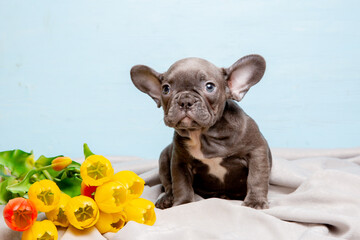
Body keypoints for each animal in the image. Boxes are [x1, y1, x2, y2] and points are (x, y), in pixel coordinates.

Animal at [131, 55, 272, 209]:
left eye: (209, 87)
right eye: (166, 89)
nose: (185, 100)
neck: (202, 135)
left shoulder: (256, 151)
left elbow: (256, 178)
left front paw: (255, 202)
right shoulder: (179, 162)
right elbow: (181, 184)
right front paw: (183, 203)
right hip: (163, 157)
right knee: (168, 184)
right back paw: (167, 198)